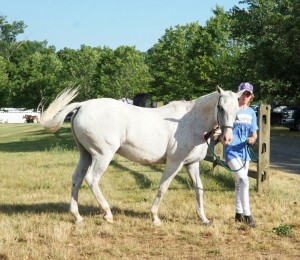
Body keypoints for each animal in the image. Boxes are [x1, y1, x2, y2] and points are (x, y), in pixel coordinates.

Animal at [39, 87, 243, 225]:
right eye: (220, 107)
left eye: (237, 109)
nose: (227, 138)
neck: (189, 121)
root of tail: (83, 105)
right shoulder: (174, 163)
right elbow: (163, 188)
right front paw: (155, 217)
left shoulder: (191, 164)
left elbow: (198, 189)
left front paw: (204, 219)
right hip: (102, 156)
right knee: (92, 179)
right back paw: (107, 213)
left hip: (86, 155)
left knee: (77, 179)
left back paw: (77, 216)